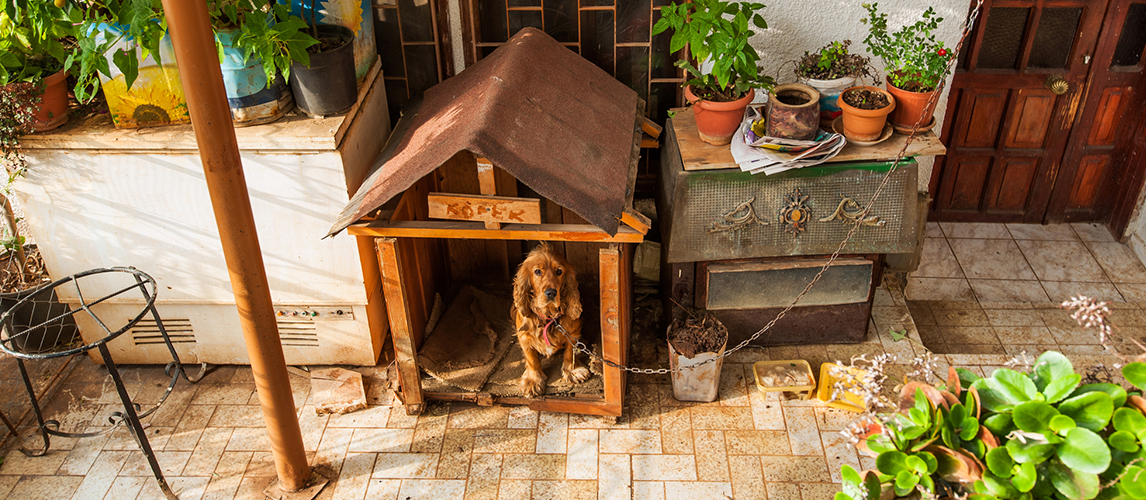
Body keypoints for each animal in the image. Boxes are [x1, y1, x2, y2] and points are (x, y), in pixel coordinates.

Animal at [517, 243, 591, 399]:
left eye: (559, 271)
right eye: (537, 271)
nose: (551, 292)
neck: (549, 316)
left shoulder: (573, 333)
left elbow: (569, 352)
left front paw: (573, 371)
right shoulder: (524, 336)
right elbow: (532, 359)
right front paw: (533, 380)